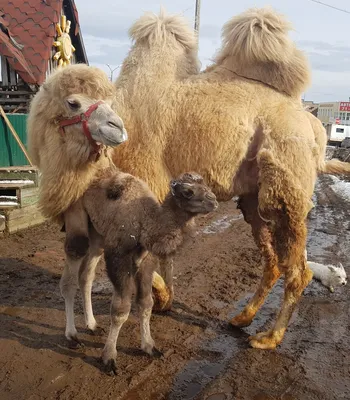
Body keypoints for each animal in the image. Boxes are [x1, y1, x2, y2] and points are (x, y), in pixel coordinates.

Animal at [112, 7, 350, 348]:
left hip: (286, 189)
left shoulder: (146, 181)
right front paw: (165, 299)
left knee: (298, 272)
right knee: (273, 263)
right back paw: (242, 319)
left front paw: (162, 299)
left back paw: (268, 338)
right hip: (254, 199)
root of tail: (313, 126)